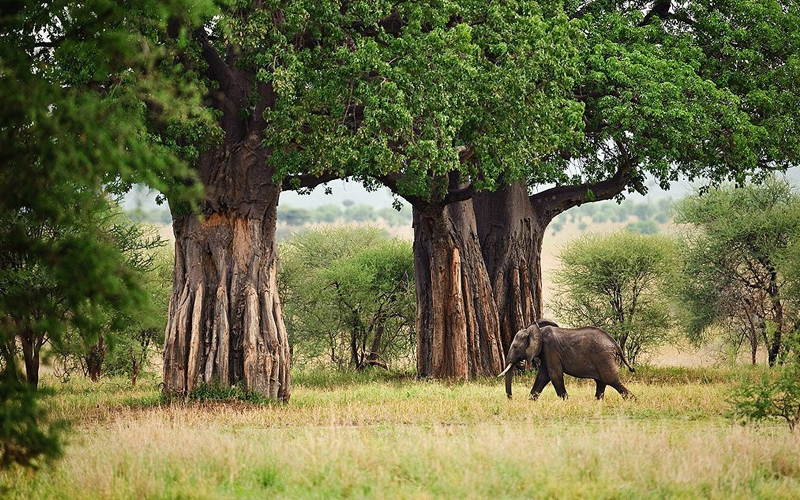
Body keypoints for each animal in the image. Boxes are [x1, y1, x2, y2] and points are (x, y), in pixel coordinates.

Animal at [496, 322, 636, 400]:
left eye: (515, 347)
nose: (510, 398)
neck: (537, 330)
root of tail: (615, 344)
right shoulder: (546, 353)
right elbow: (543, 377)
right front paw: (531, 401)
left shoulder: (550, 349)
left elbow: (554, 375)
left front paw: (565, 401)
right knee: (602, 382)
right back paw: (597, 402)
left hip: (603, 358)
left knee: (612, 380)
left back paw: (633, 401)